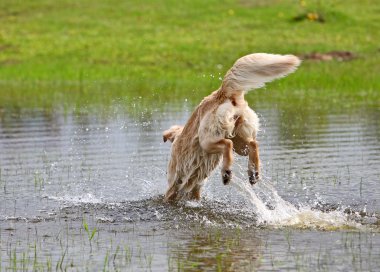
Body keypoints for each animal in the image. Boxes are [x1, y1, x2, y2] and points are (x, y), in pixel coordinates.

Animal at [162, 53, 302, 202]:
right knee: (253, 144)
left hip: (207, 140)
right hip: (240, 140)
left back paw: (226, 173)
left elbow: (170, 194)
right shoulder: (196, 186)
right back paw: (253, 173)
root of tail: (222, 92)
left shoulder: (174, 185)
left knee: (227, 144)